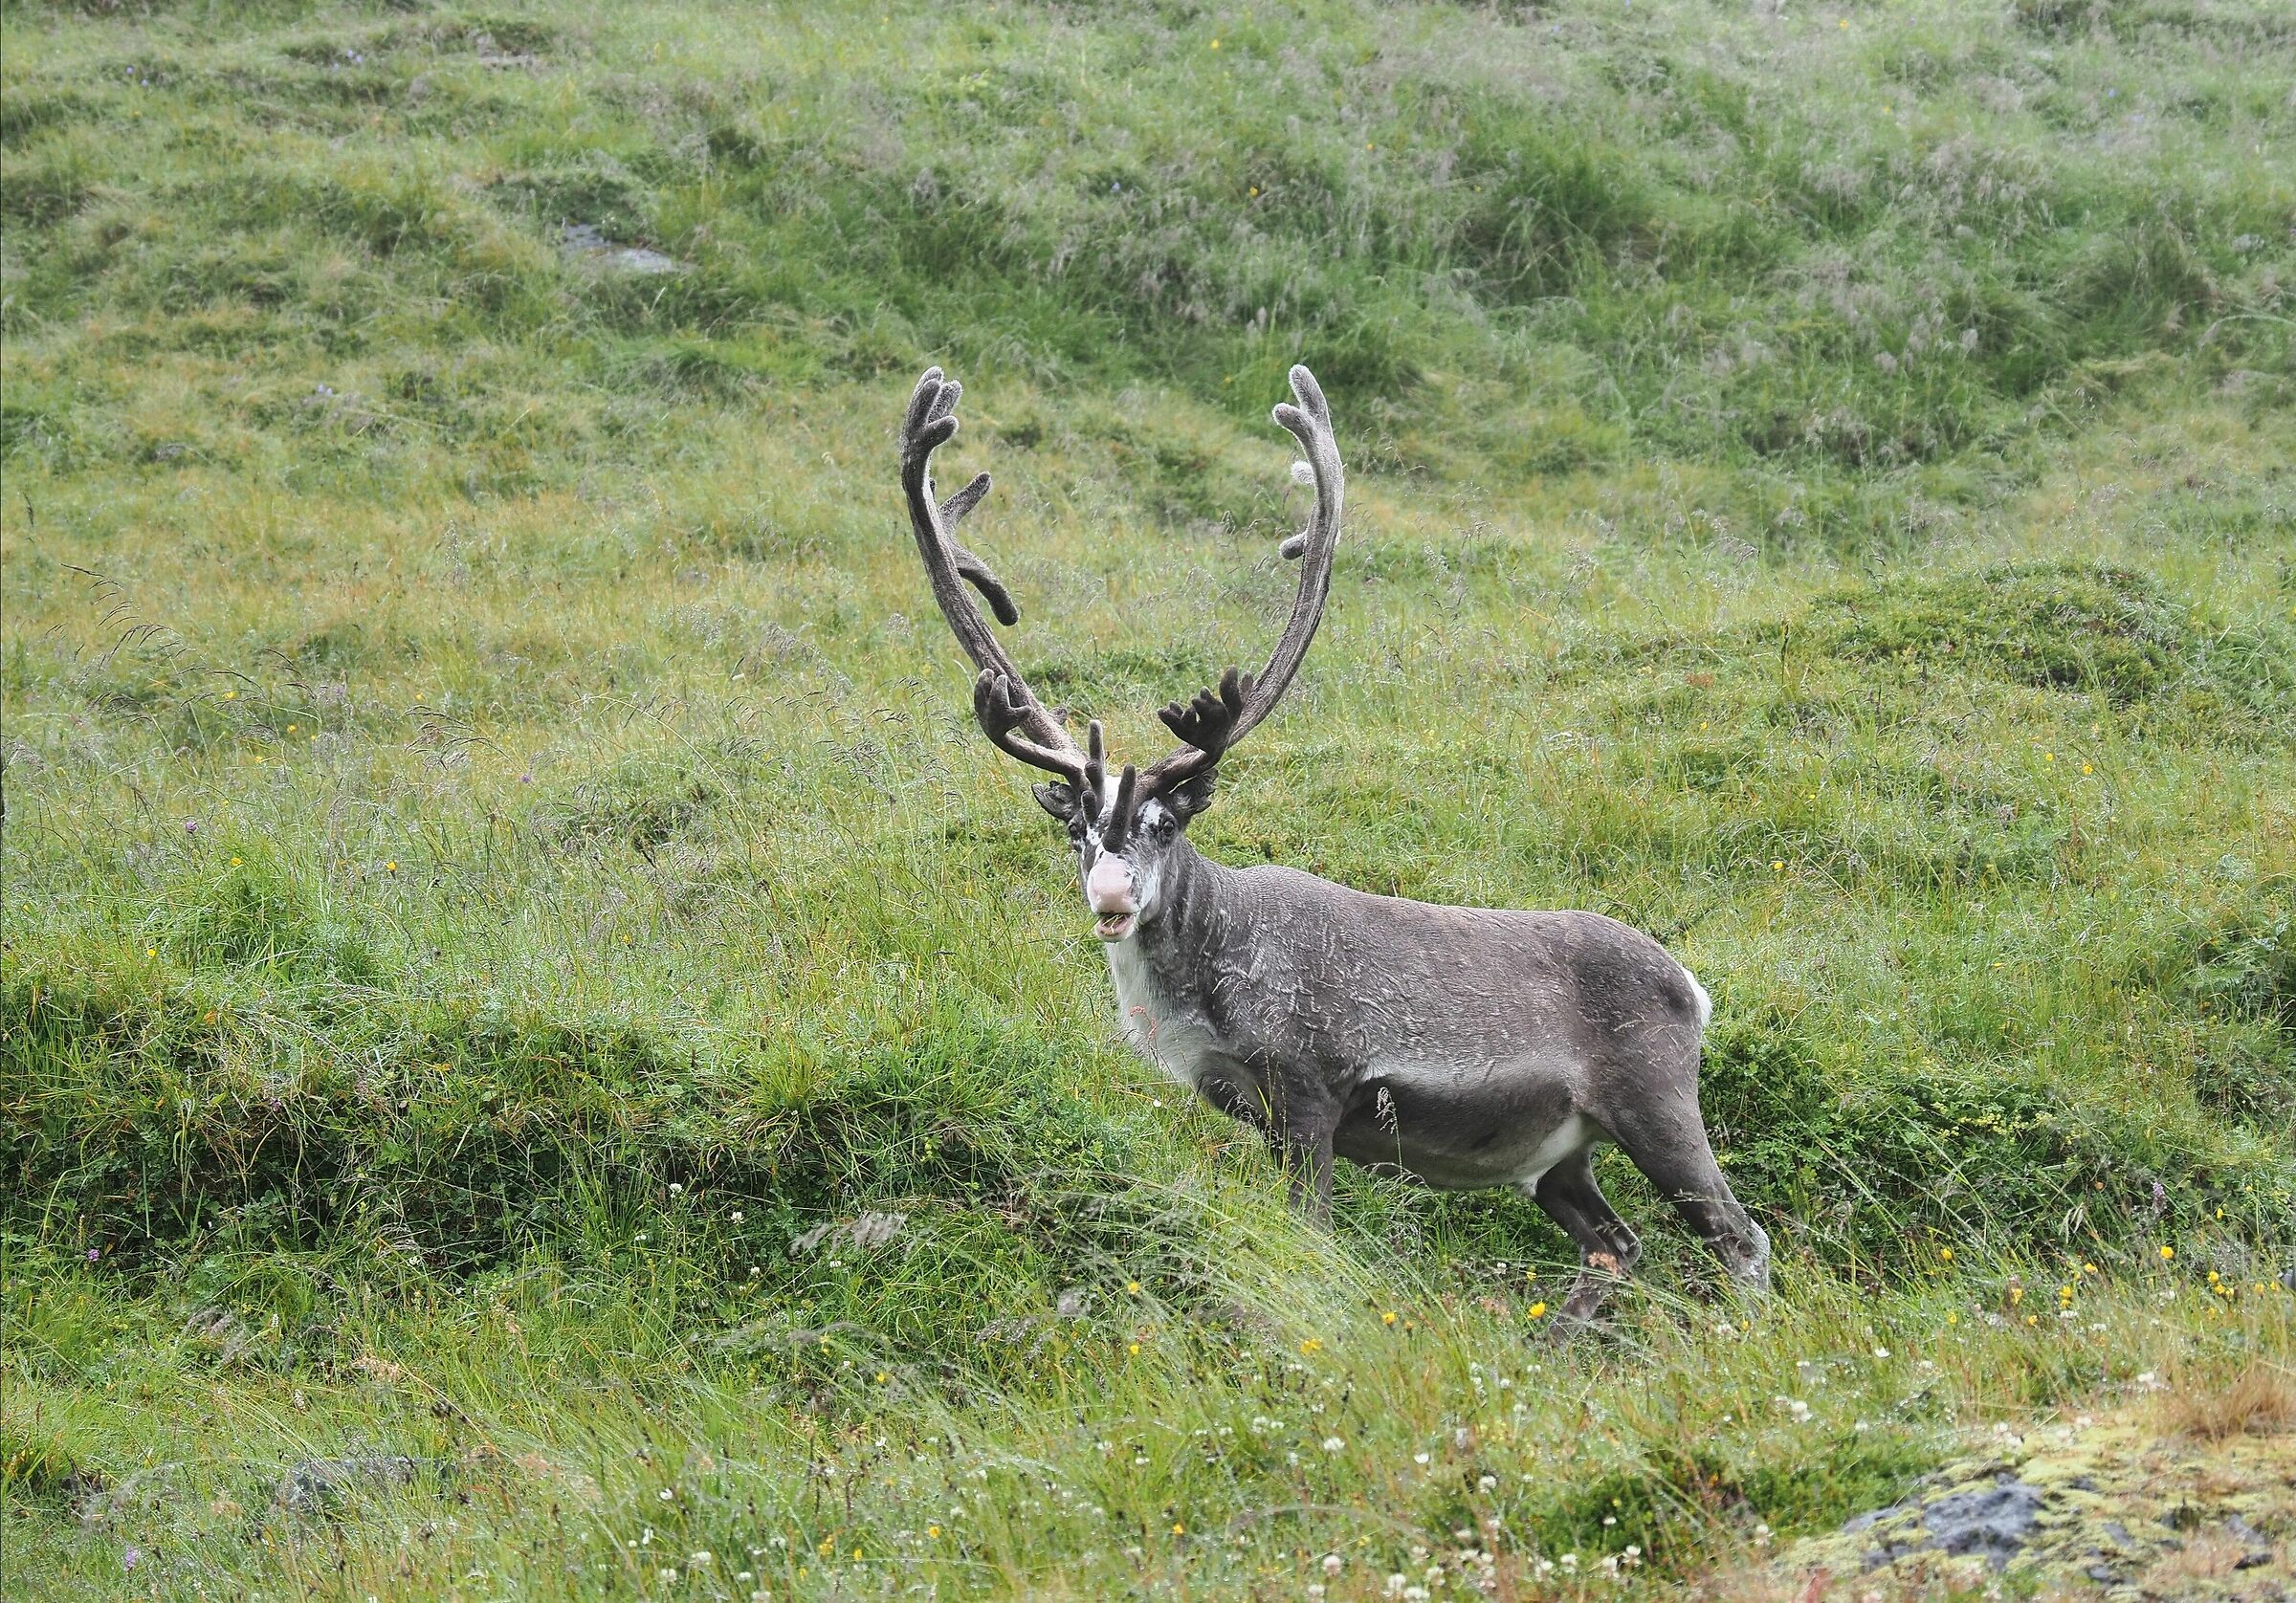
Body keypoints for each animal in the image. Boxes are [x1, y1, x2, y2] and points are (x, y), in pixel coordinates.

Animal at [897, 365, 1771, 1321]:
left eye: (1166, 825)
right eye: (1077, 831)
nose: (1113, 896)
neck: (1199, 984)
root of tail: (1693, 988)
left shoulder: (1309, 1092)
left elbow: (1310, 1230)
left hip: (1657, 1107)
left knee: (1740, 1235)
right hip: (1558, 1157)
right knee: (1617, 1244)